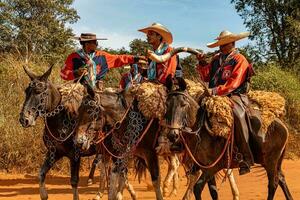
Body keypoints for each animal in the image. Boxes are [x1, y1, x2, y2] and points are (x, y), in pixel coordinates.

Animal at [163, 77, 292, 200]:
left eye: (183, 105)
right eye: (167, 104)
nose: (172, 134)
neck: (200, 130)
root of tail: (282, 125)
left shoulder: (212, 168)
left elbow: (197, 188)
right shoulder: (204, 167)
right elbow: (213, 192)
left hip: (271, 162)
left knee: (273, 184)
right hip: (271, 162)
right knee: (281, 179)